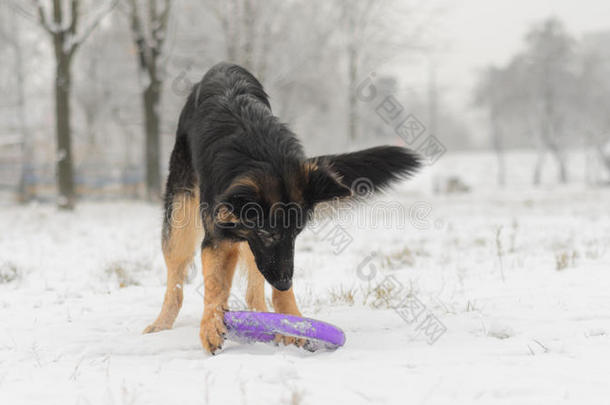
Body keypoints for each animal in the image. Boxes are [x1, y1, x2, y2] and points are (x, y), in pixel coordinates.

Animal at [142, 61, 418, 352]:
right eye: (267, 233)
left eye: (297, 233)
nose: (285, 282)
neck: (259, 152)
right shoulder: (222, 238)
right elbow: (216, 286)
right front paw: (211, 325)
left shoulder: (265, 247)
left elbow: (270, 282)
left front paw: (292, 319)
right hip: (180, 222)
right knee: (176, 280)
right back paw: (161, 324)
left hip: (246, 248)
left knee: (253, 288)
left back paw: (262, 317)